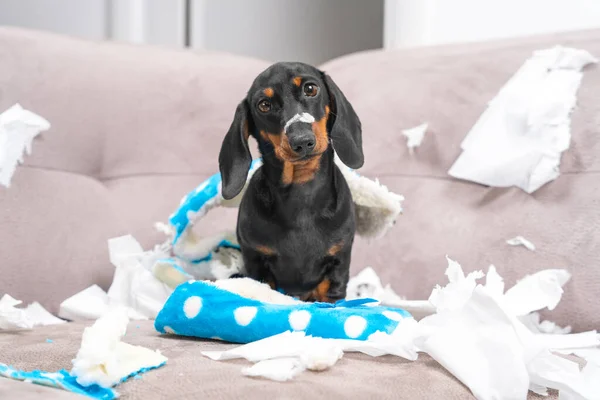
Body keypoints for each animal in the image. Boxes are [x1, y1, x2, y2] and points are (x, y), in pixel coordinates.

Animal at [219, 61, 364, 302]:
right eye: (264, 105)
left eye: (310, 89)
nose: (302, 141)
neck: (301, 192)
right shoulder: (256, 261)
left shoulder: (338, 264)